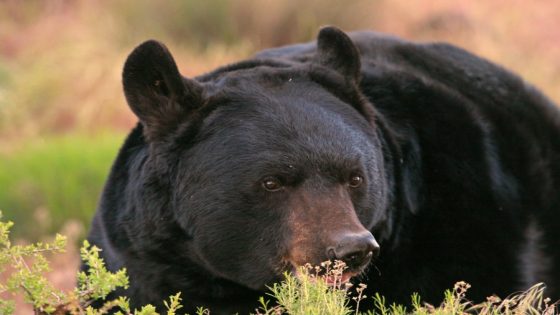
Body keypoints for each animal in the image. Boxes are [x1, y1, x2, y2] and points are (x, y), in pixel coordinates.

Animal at [84, 26, 560, 314]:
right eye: (272, 181)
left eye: (356, 177)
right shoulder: (142, 260)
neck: (226, 282)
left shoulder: (463, 218)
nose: (350, 249)